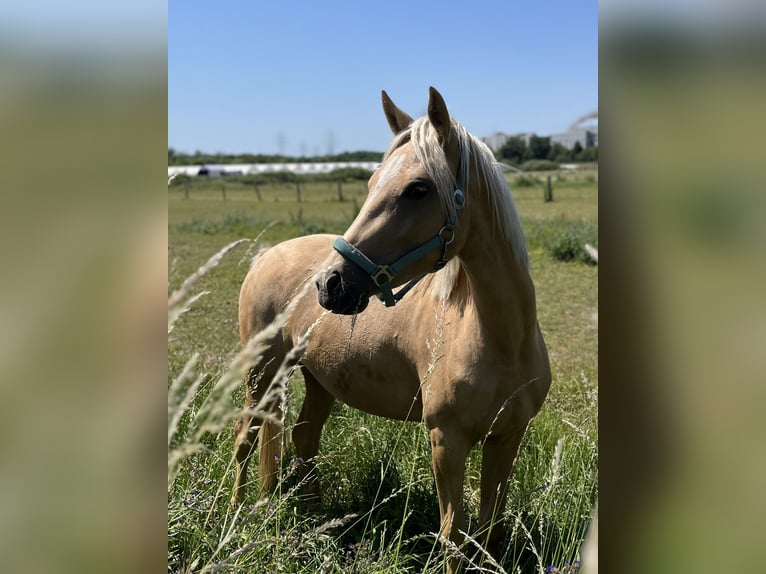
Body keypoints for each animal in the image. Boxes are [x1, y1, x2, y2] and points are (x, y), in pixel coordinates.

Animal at [234, 85, 552, 572]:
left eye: (418, 189)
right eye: (371, 184)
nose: (330, 285)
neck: (501, 341)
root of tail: (266, 255)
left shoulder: (507, 437)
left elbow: (489, 530)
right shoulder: (446, 441)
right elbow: (453, 536)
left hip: (318, 380)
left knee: (303, 438)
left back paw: (312, 521)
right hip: (260, 375)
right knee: (246, 441)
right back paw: (231, 519)